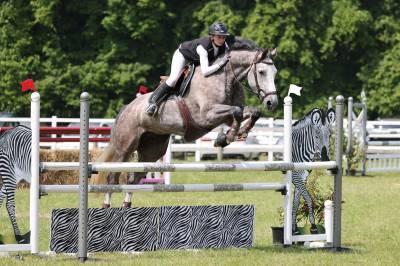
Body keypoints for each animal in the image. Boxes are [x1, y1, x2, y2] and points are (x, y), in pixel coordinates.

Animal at [91, 40, 278, 209]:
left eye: (275, 73)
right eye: (261, 72)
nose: (272, 102)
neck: (225, 79)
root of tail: (126, 109)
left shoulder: (225, 115)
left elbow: (251, 112)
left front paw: (232, 135)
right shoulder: (206, 116)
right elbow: (237, 112)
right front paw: (227, 137)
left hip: (152, 149)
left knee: (133, 178)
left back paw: (126, 207)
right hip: (125, 147)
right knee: (113, 177)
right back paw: (107, 207)